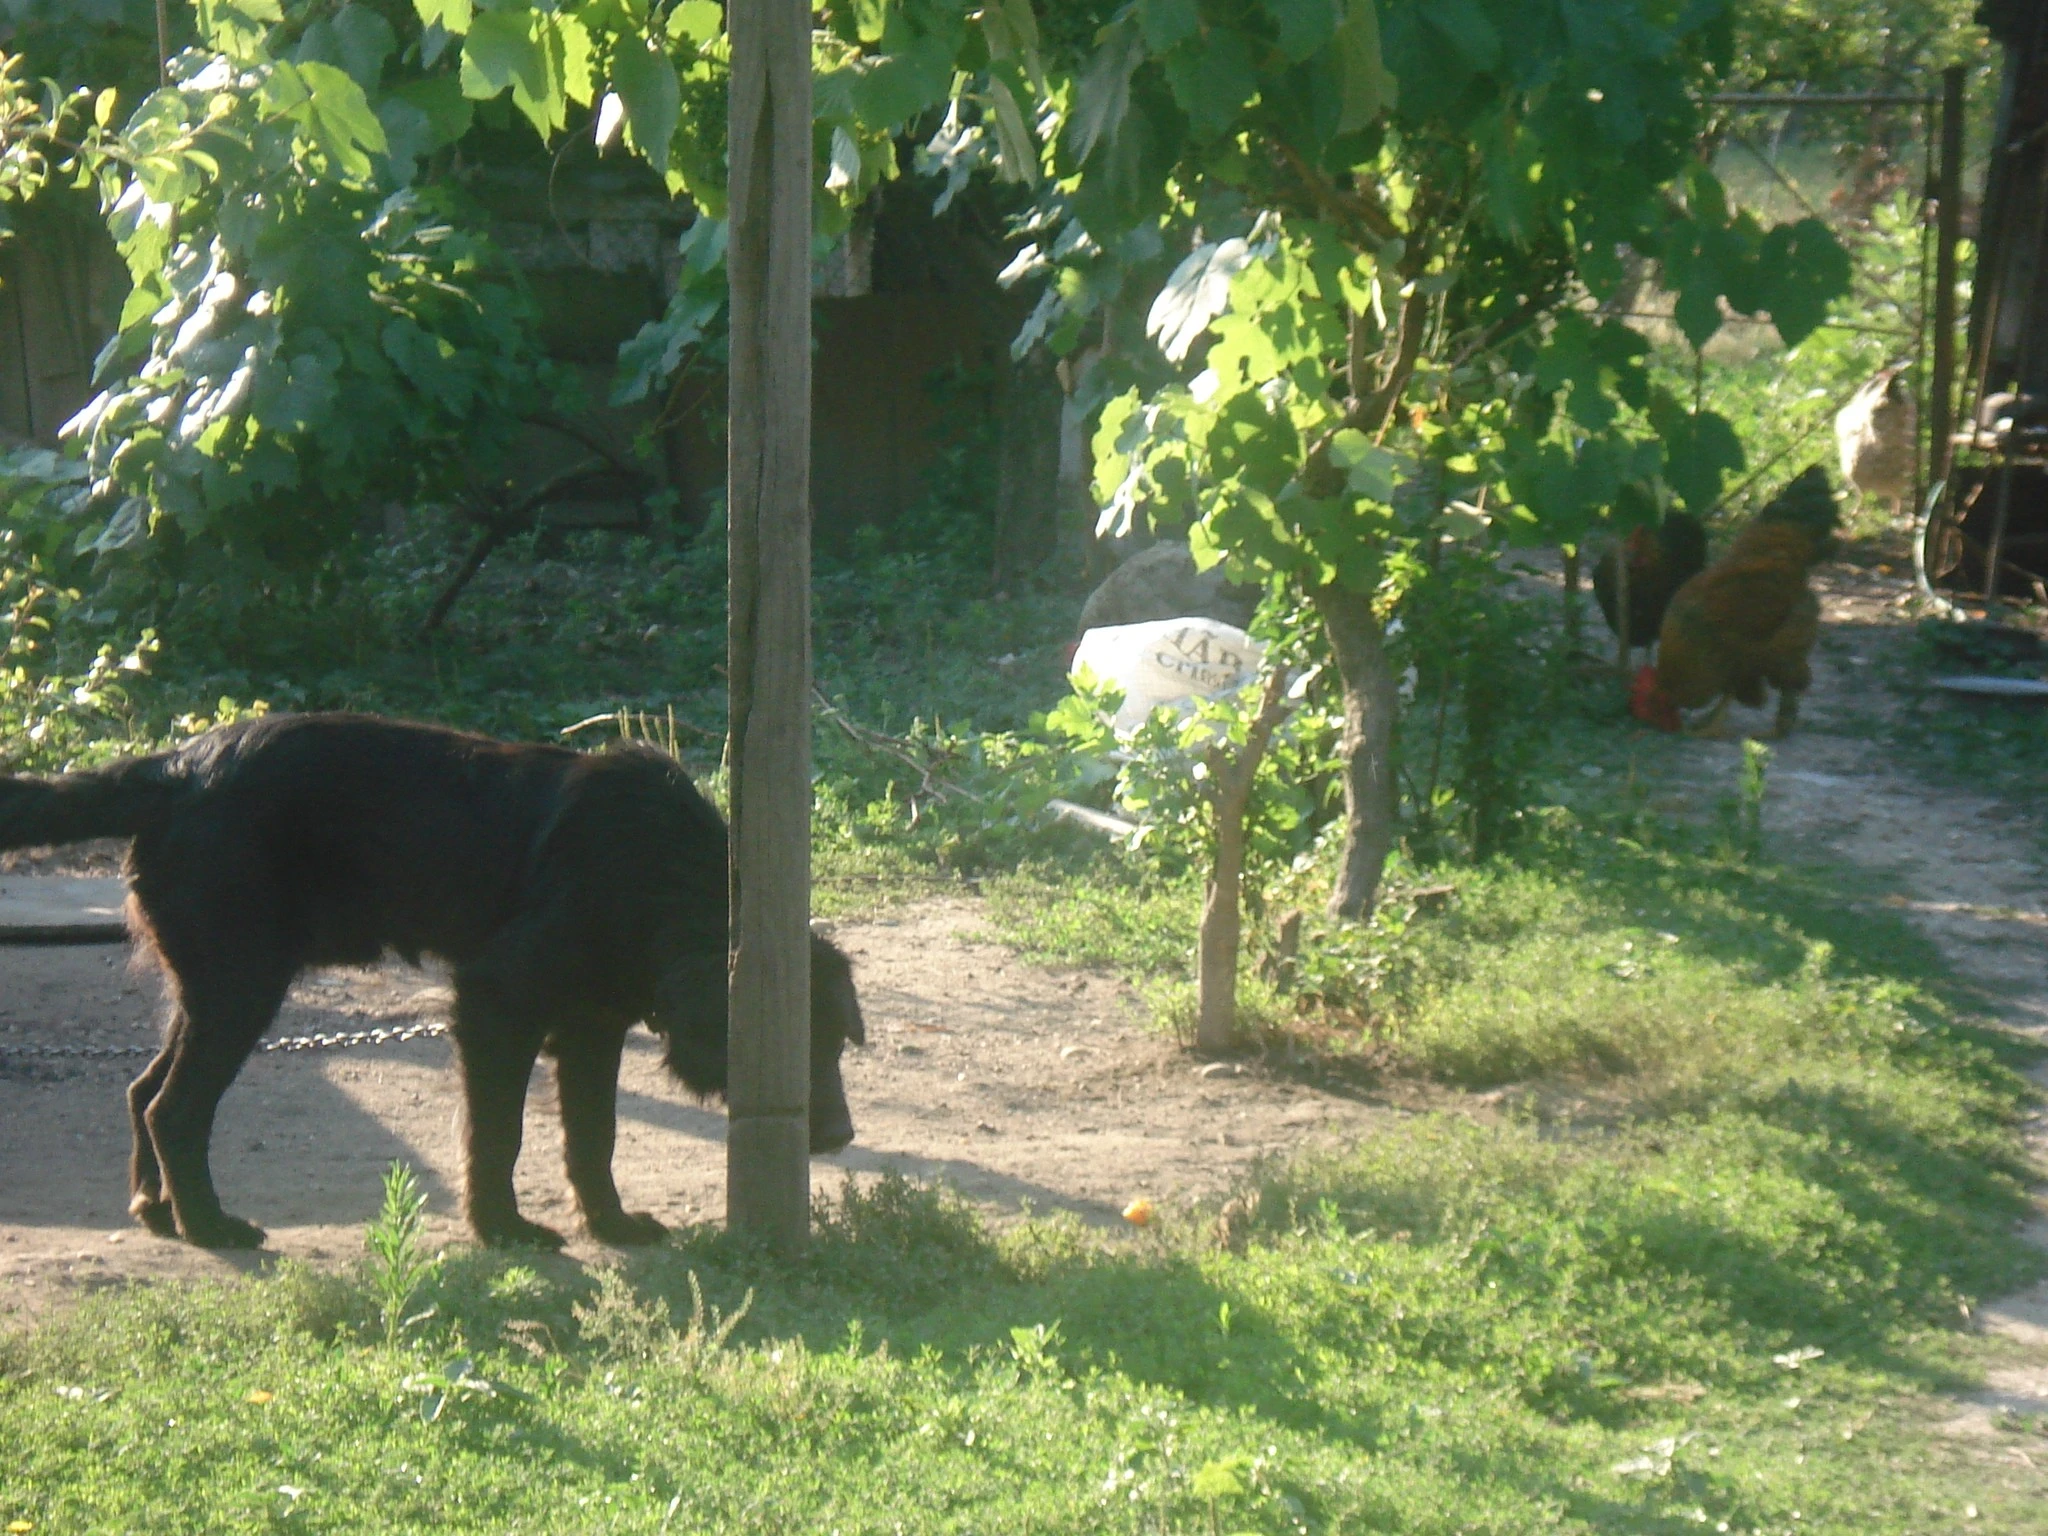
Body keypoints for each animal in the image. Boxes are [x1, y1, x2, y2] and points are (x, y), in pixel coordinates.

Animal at [0, 716, 856, 1253]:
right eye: (799, 1045)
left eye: (839, 1042)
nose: (843, 1136)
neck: (664, 872)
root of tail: (177, 767)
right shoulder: (496, 1003)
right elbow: (500, 1133)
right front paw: (503, 1231)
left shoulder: (592, 1026)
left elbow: (594, 1137)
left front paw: (610, 1226)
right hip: (242, 985)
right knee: (174, 1109)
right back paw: (211, 1227)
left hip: (210, 985)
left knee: (143, 1089)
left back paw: (160, 1211)